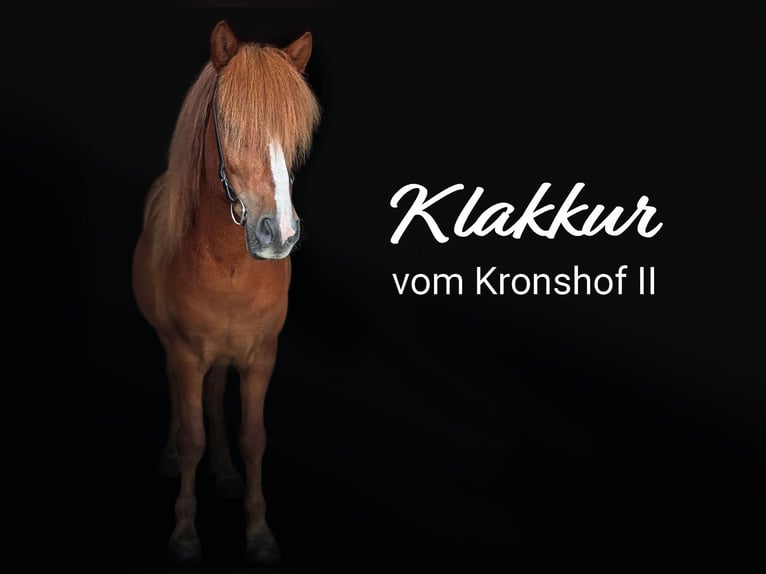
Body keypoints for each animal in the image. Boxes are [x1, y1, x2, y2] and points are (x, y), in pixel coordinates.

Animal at [131, 20, 320, 565]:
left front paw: (258, 532)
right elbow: (191, 435)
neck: (230, 268)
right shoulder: (185, 354)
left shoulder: (261, 357)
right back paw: (171, 458)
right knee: (183, 404)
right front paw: (185, 534)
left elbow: (253, 437)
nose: (279, 233)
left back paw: (226, 473)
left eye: (294, 135)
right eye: (229, 125)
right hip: (176, 351)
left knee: (215, 397)